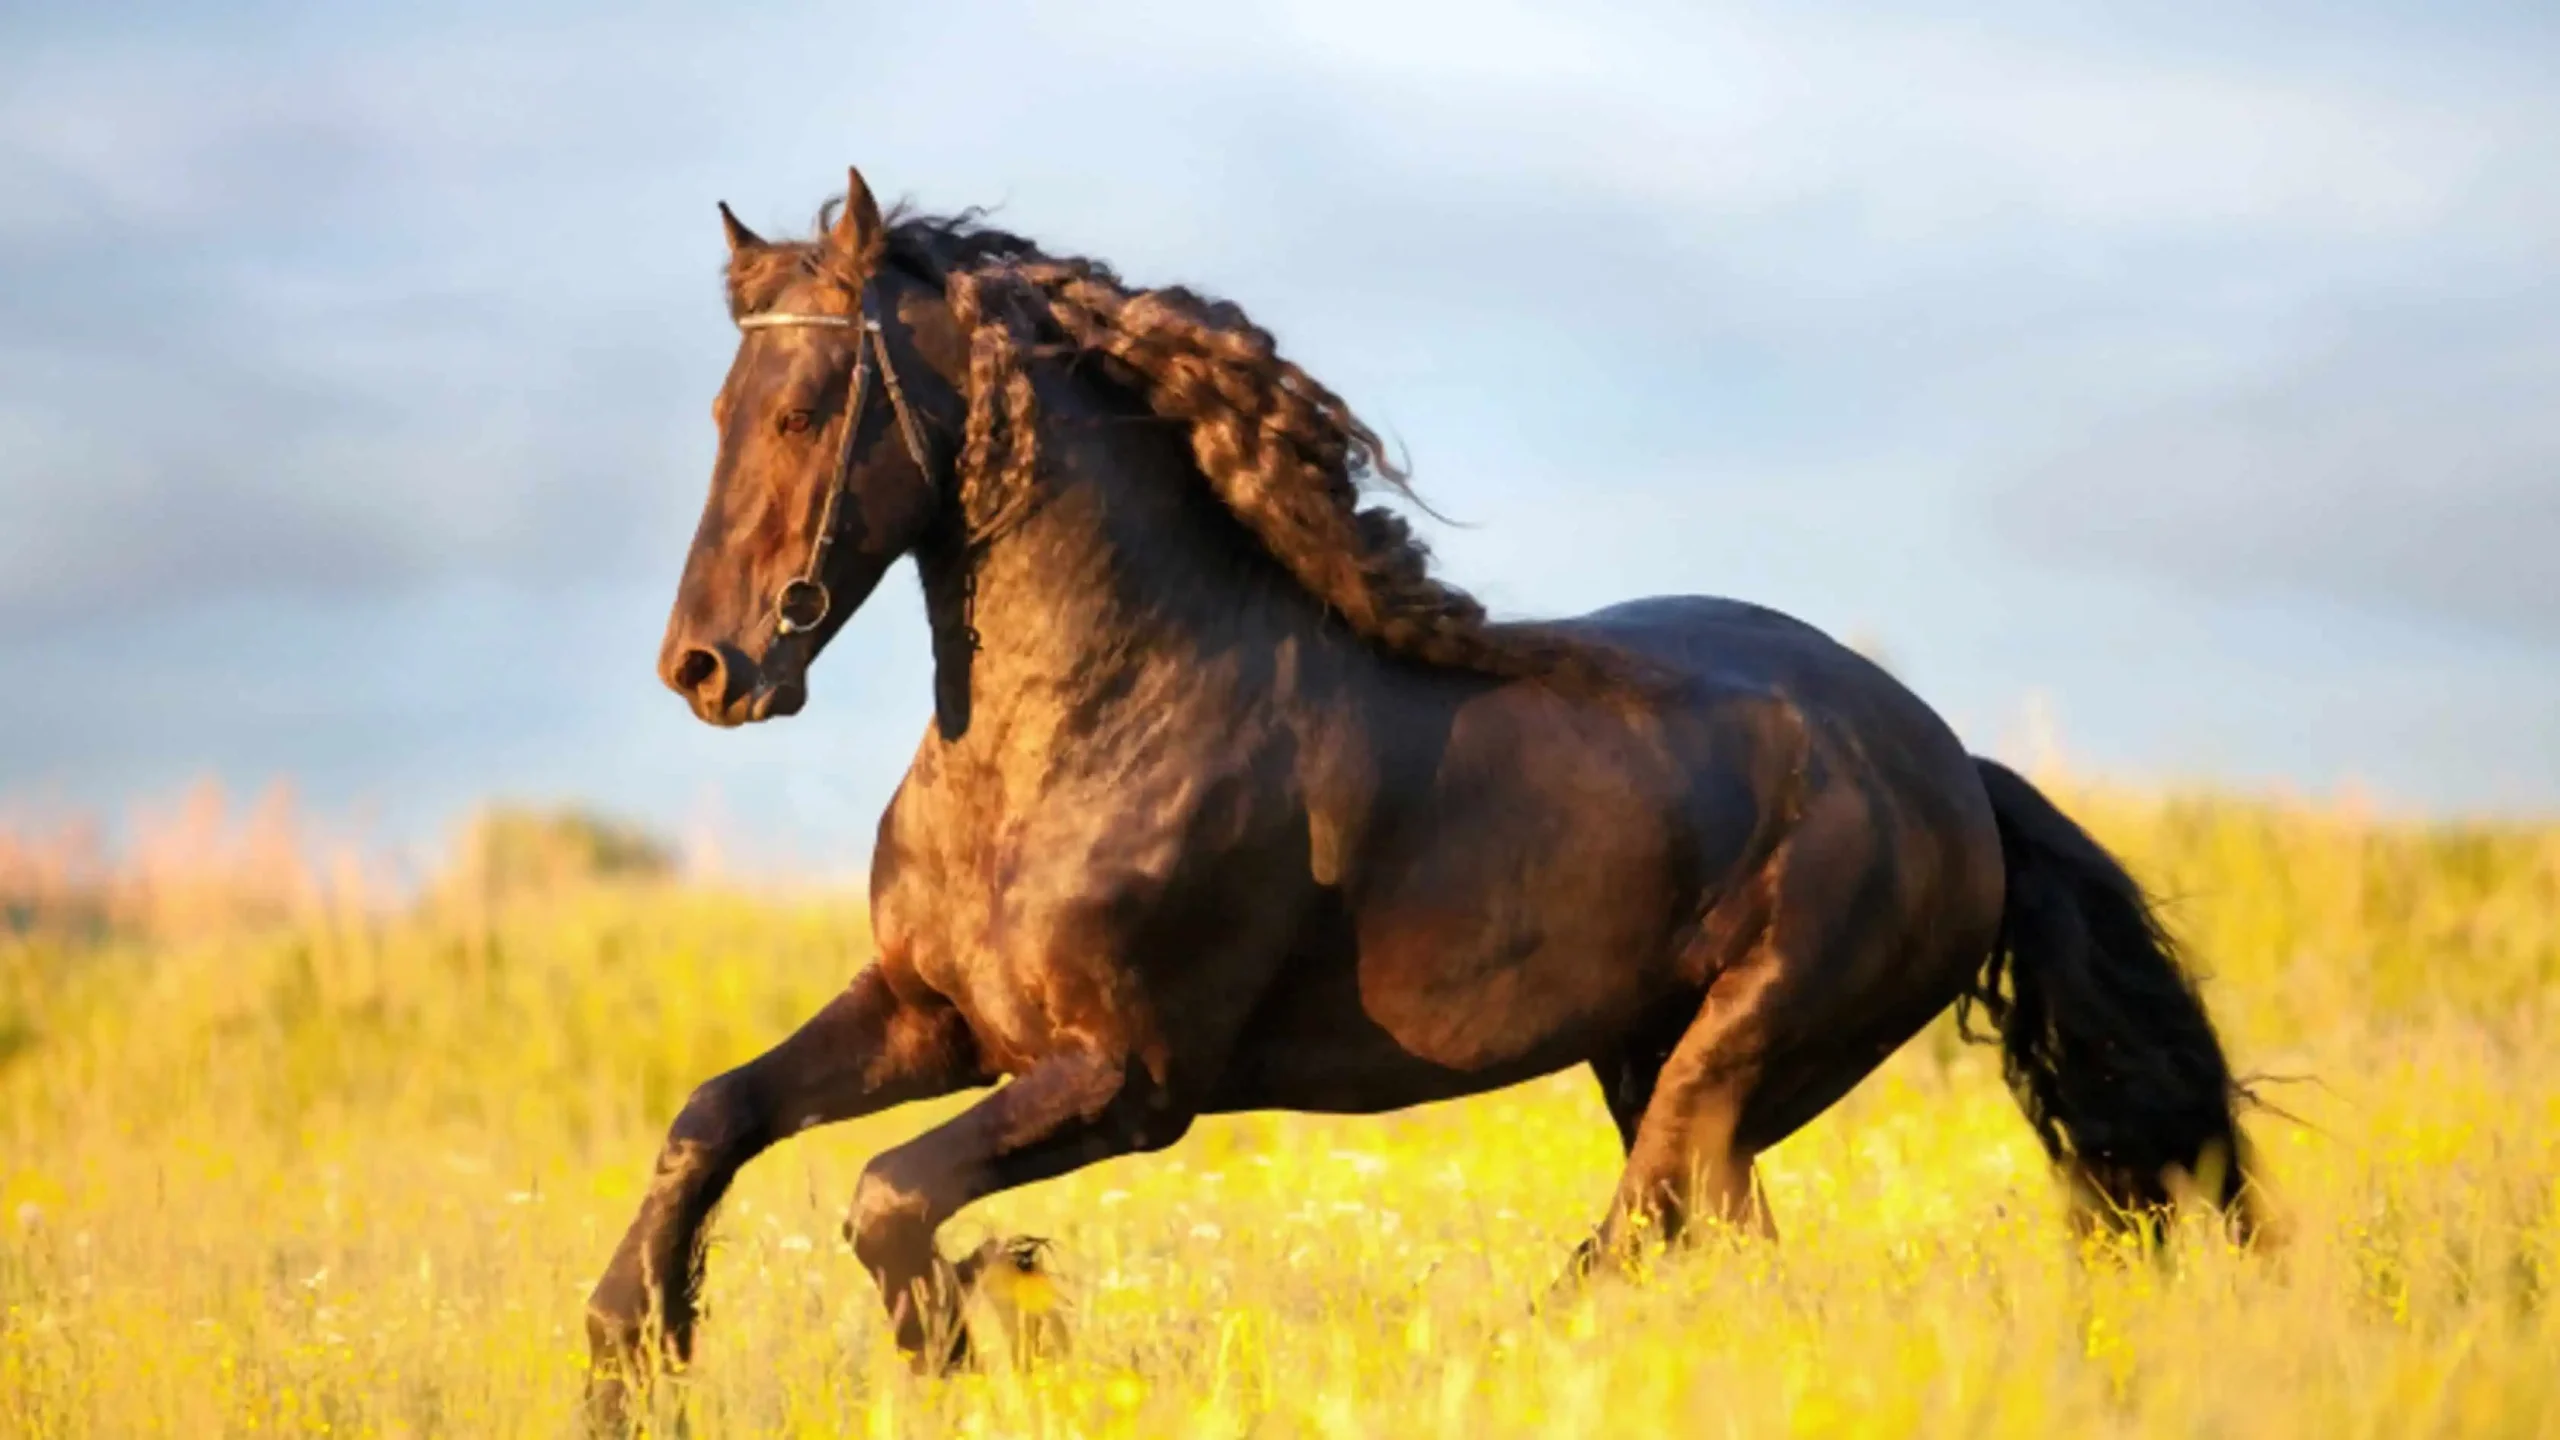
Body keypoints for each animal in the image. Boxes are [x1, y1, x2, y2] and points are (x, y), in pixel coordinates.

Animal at [582, 164, 2258, 1420]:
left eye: (807, 408)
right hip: (1658, 1065)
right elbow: (713, 1118)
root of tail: (1949, 767)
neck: (1079, 733)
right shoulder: (934, 1016)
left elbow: (884, 1195)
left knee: (1636, 1240)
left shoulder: (1129, 1080)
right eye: (722, 410)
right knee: (1715, 1254)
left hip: (1738, 1060)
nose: (707, 668)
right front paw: (629, 1354)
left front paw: (988, 1332)